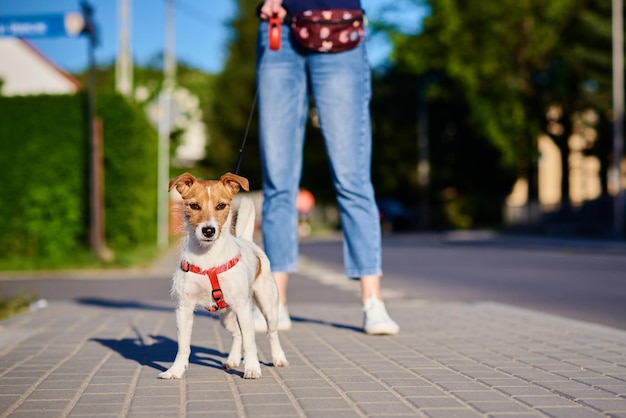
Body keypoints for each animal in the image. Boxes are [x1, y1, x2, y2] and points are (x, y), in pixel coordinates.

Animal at [160, 171, 288, 380]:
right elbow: (183, 346)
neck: (208, 259)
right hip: (226, 318)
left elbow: (251, 343)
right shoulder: (184, 309)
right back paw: (233, 360)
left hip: (267, 305)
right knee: (237, 334)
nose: (208, 230)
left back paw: (278, 358)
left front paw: (252, 368)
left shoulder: (243, 308)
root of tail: (247, 241)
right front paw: (176, 370)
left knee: (271, 332)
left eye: (221, 205)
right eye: (194, 206)